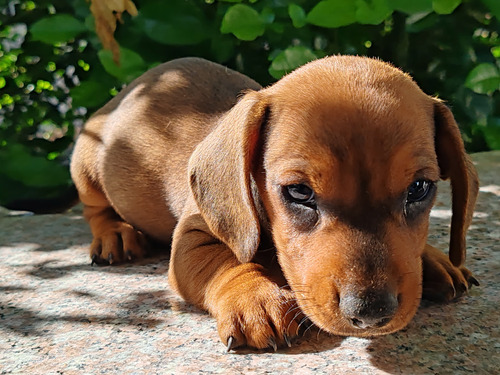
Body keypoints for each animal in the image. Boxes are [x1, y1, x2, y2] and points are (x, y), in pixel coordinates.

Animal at [71, 55, 480, 350]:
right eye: (298, 192)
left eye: (419, 188)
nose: (371, 314)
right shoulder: (192, 235)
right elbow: (226, 260)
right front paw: (255, 300)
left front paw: (434, 259)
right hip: (87, 164)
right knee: (94, 210)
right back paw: (115, 234)